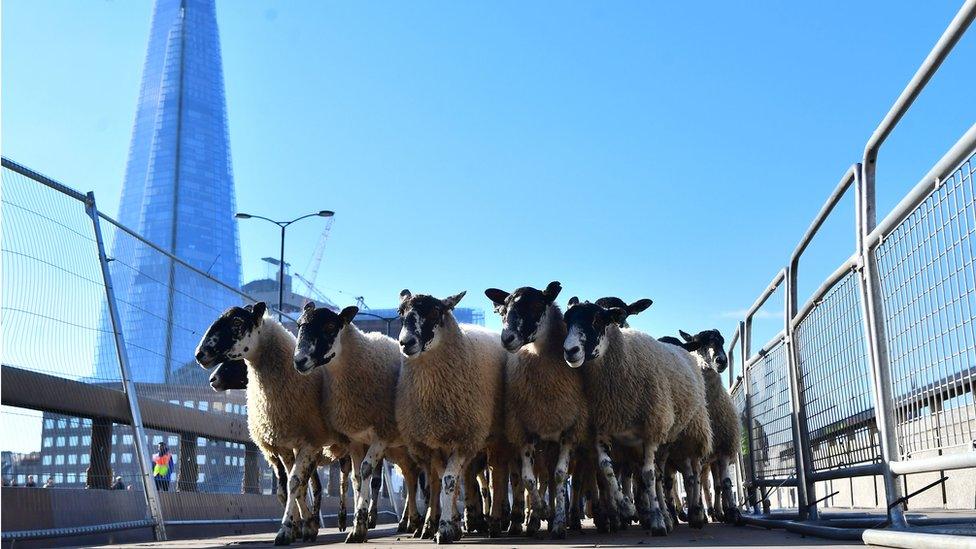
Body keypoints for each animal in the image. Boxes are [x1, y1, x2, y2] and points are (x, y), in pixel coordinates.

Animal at [193, 302, 344, 544]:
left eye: (237, 322)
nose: (199, 354)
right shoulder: (277, 447)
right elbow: (288, 489)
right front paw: (300, 527)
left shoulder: (308, 442)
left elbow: (295, 484)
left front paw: (287, 530)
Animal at [292, 302, 426, 540]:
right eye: (299, 324)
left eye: (330, 326)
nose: (299, 361)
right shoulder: (355, 439)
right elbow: (355, 478)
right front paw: (356, 525)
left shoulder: (382, 434)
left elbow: (365, 471)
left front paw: (360, 525)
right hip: (403, 449)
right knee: (411, 477)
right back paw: (411, 522)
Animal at [392, 292, 508, 544]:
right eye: (400, 312)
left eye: (435, 311)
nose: (405, 342)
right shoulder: (434, 443)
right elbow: (440, 481)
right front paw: (439, 524)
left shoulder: (465, 438)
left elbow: (448, 481)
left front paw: (444, 528)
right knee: (466, 477)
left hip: (494, 438)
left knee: (496, 476)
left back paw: (495, 521)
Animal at [482, 280, 588, 536]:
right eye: (503, 310)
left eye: (537, 305)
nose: (507, 338)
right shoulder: (524, 430)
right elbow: (528, 480)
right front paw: (540, 512)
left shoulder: (568, 430)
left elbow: (559, 477)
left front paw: (557, 523)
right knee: (536, 478)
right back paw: (529, 519)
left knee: (552, 478)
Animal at [560, 298, 712, 532]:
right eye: (567, 321)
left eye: (597, 319)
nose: (570, 350)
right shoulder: (603, 428)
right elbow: (607, 469)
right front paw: (627, 508)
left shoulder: (651, 429)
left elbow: (648, 476)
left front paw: (657, 520)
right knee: (656, 476)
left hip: (683, 432)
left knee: (682, 474)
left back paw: (688, 514)